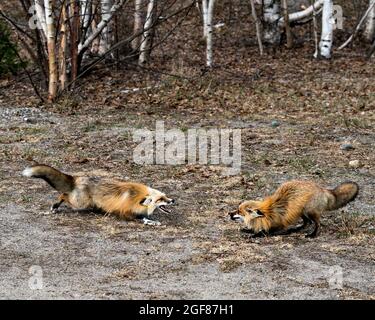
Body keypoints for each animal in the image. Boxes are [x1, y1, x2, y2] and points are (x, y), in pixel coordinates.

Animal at [22, 164, 176, 226]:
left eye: (165, 196)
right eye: (160, 199)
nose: (173, 200)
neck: (136, 197)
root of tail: (77, 178)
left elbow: (145, 216)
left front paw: (152, 220)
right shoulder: (125, 213)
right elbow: (141, 219)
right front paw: (153, 222)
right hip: (80, 203)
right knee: (64, 195)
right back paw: (55, 206)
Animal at [231, 180, 360, 238]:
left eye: (239, 212)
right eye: (236, 209)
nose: (229, 213)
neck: (269, 212)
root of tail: (323, 189)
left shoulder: (278, 225)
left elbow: (265, 232)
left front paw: (254, 234)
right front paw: (248, 230)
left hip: (309, 211)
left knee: (317, 223)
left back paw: (312, 234)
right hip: (301, 211)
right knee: (307, 222)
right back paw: (296, 229)